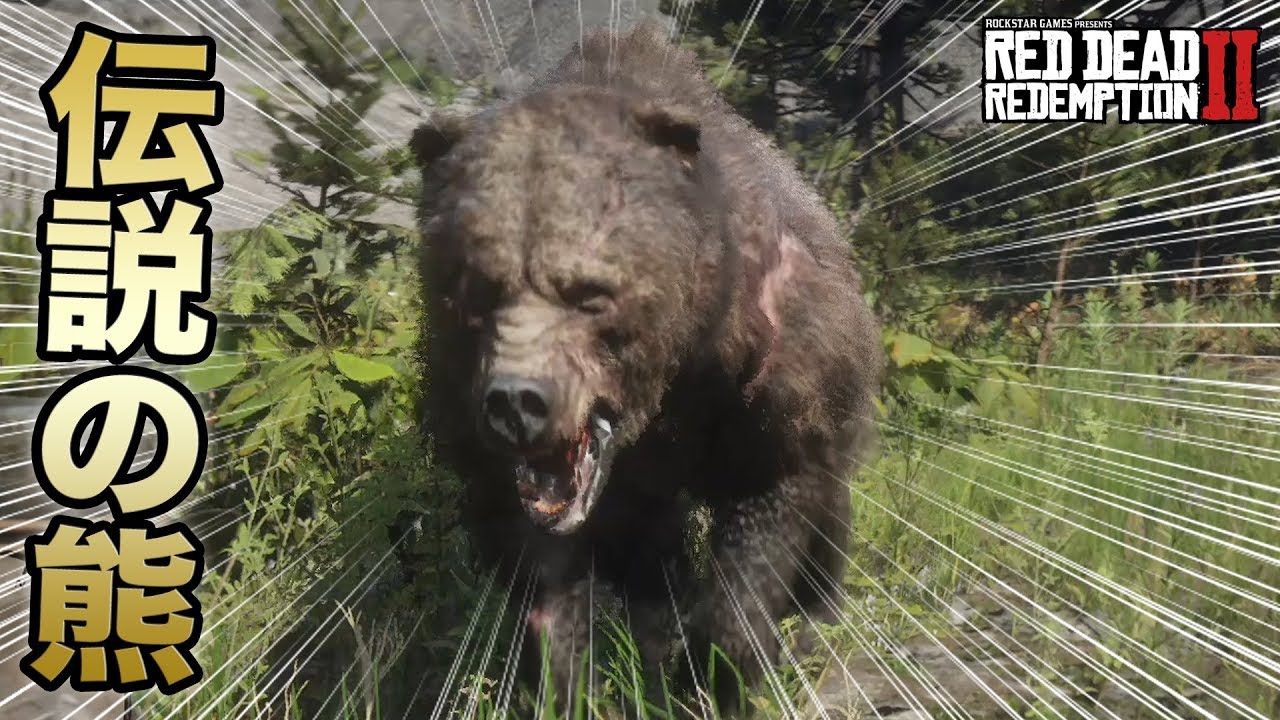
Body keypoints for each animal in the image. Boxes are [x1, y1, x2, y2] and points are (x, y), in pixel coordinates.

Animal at [410, 20, 883, 715]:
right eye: (476, 290)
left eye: (589, 293)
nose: (518, 403)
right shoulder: (470, 409)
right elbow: (545, 570)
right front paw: (576, 678)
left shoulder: (772, 371)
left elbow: (769, 505)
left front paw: (731, 667)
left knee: (827, 508)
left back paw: (816, 608)